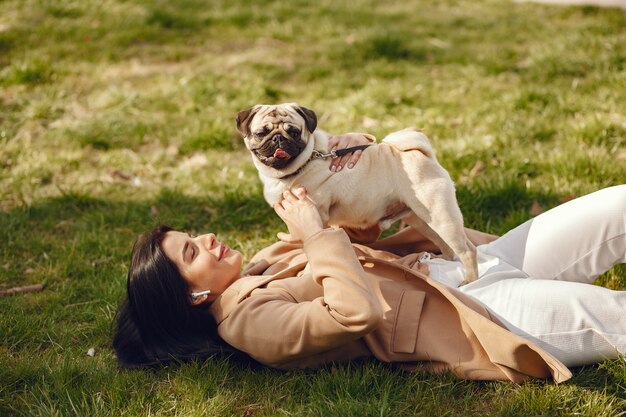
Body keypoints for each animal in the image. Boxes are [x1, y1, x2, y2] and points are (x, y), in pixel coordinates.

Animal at [235, 102, 478, 282]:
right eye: (261, 133)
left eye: (294, 133)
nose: (278, 139)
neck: (305, 161)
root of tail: (421, 153)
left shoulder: (316, 219)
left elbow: (311, 248)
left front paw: (308, 272)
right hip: (422, 220)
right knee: (446, 245)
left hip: (441, 216)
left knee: (468, 250)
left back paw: (469, 280)